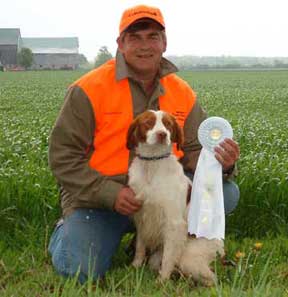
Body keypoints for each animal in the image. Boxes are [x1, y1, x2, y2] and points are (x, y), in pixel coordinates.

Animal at [126, 109, 189, 280]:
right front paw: (135, 266)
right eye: (148, 122)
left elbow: (168, 257)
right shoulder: (141, 214)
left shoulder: (173, 222)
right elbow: (140, 247)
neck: (152, 163)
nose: (162, 134)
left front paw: (162, 280)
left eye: (168, 124)